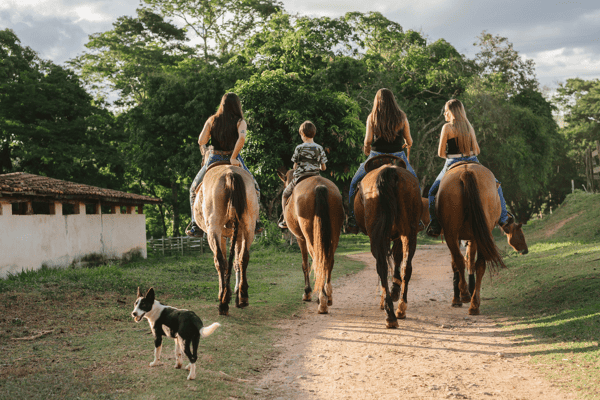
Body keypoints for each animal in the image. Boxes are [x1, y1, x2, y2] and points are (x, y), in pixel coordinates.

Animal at [191, 162, 258, 316]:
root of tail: (229, 173)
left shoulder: (220, 235)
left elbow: (223, 261)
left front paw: (225, 294)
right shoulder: (238, 234)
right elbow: (236, 261)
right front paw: (237, 294)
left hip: (214, 229)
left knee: (220, 261)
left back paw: (223, 303)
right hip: (248, 226)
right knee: (243, 257)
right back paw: (243, 297)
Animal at [276, 170, 342, 314]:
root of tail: (319, 186)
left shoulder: (300, 238)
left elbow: (305, 264)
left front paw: (307, 293)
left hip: (310, 236)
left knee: (318, 261)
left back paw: (322, 301)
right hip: (334, 233)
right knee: (329, 261)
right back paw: (328, 297)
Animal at [354, 156, 420, 328]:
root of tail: (390, 171)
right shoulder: (397, 235)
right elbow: (398, 258)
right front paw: (394, 291)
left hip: (377, 237)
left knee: (382, 267)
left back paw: (390, 313)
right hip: (409, 233)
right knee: (406, 267)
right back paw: (401, 308)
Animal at [434, 162, 528, 316]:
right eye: (520, 235)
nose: (526, 250)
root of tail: (466, 171)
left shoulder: (466, 238)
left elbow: (462, 262)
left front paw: (458, 297)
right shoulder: (472, 237)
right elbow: (468, 262)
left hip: (453, 233)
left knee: (463, 261)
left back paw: (466, 295)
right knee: (478, 264)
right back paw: (473, 303)